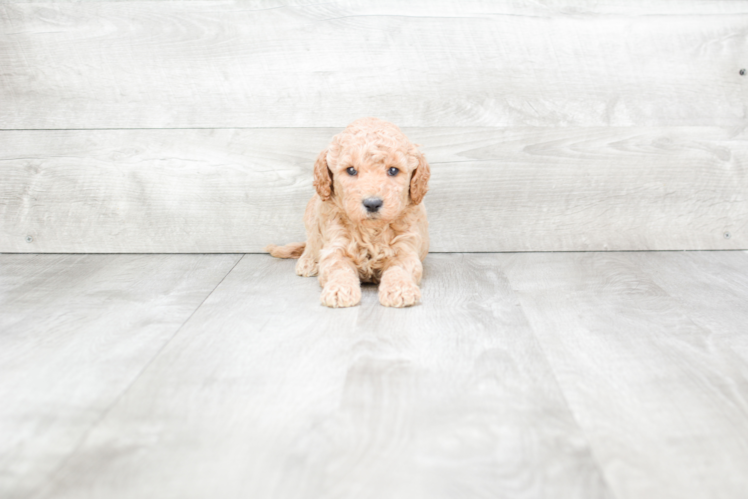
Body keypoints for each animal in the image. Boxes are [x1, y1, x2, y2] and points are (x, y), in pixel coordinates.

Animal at [266, 116, 430, 308]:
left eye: (393, 170)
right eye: (351, 170)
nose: (372, 203)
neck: (371, 231)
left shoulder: (405, 248)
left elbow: (400, 268)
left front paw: (400, 288)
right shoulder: (336, 245)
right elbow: (339, 268)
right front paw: (340, 289)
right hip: (312, 212)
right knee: (311, 242)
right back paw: (308, 262)